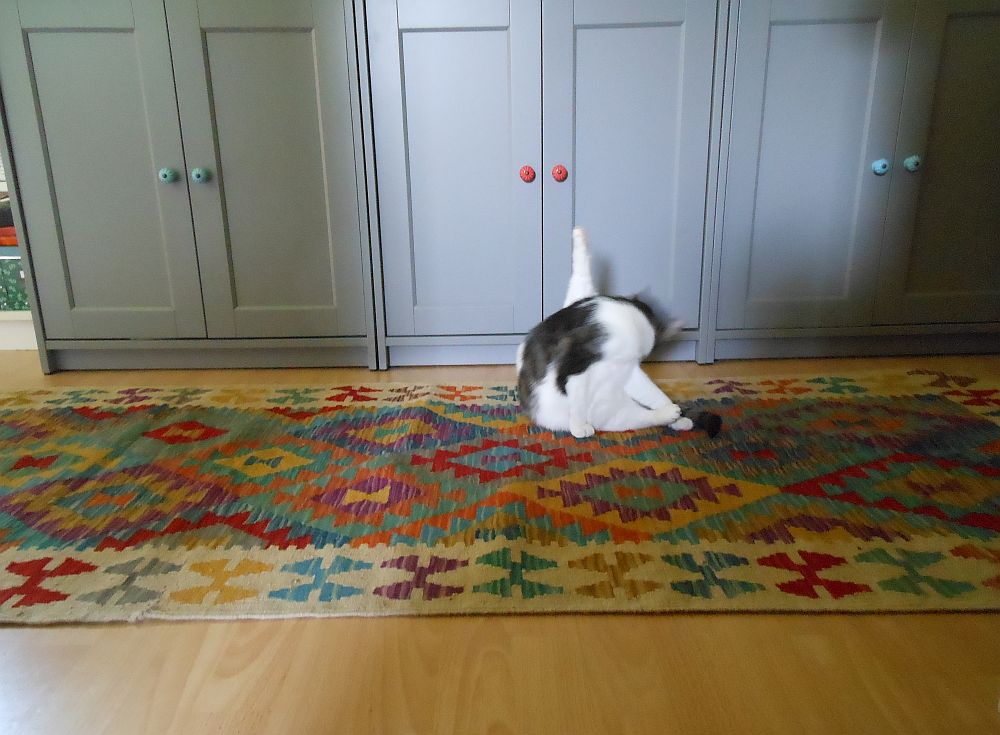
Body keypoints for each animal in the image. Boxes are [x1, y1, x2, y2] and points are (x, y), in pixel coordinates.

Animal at [517, 227, 710, 438]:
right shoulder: (576, 363)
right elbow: (575, 399)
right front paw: (578, 427)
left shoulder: (629, 367)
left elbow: (651, 391)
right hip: (611, 411)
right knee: (641, 415)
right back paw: (669, 415)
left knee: (649, 406)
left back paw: (677, 418)